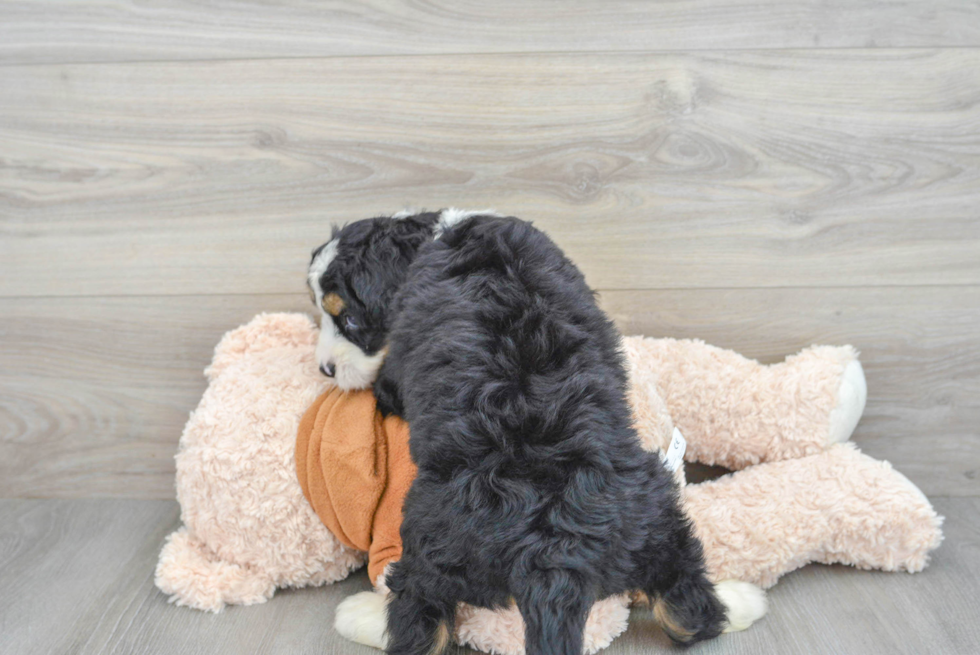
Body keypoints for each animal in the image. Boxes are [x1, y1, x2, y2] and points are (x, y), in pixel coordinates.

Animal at [308, 210, 764, 655]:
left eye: (349, 319)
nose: (325, 369)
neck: (436, 233)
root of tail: (553, 549)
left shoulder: (396, 367)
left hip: (428, 536)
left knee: (420, 620)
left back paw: (363, 614)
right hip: (654, 517)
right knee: (688, 604)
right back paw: (740, 601)